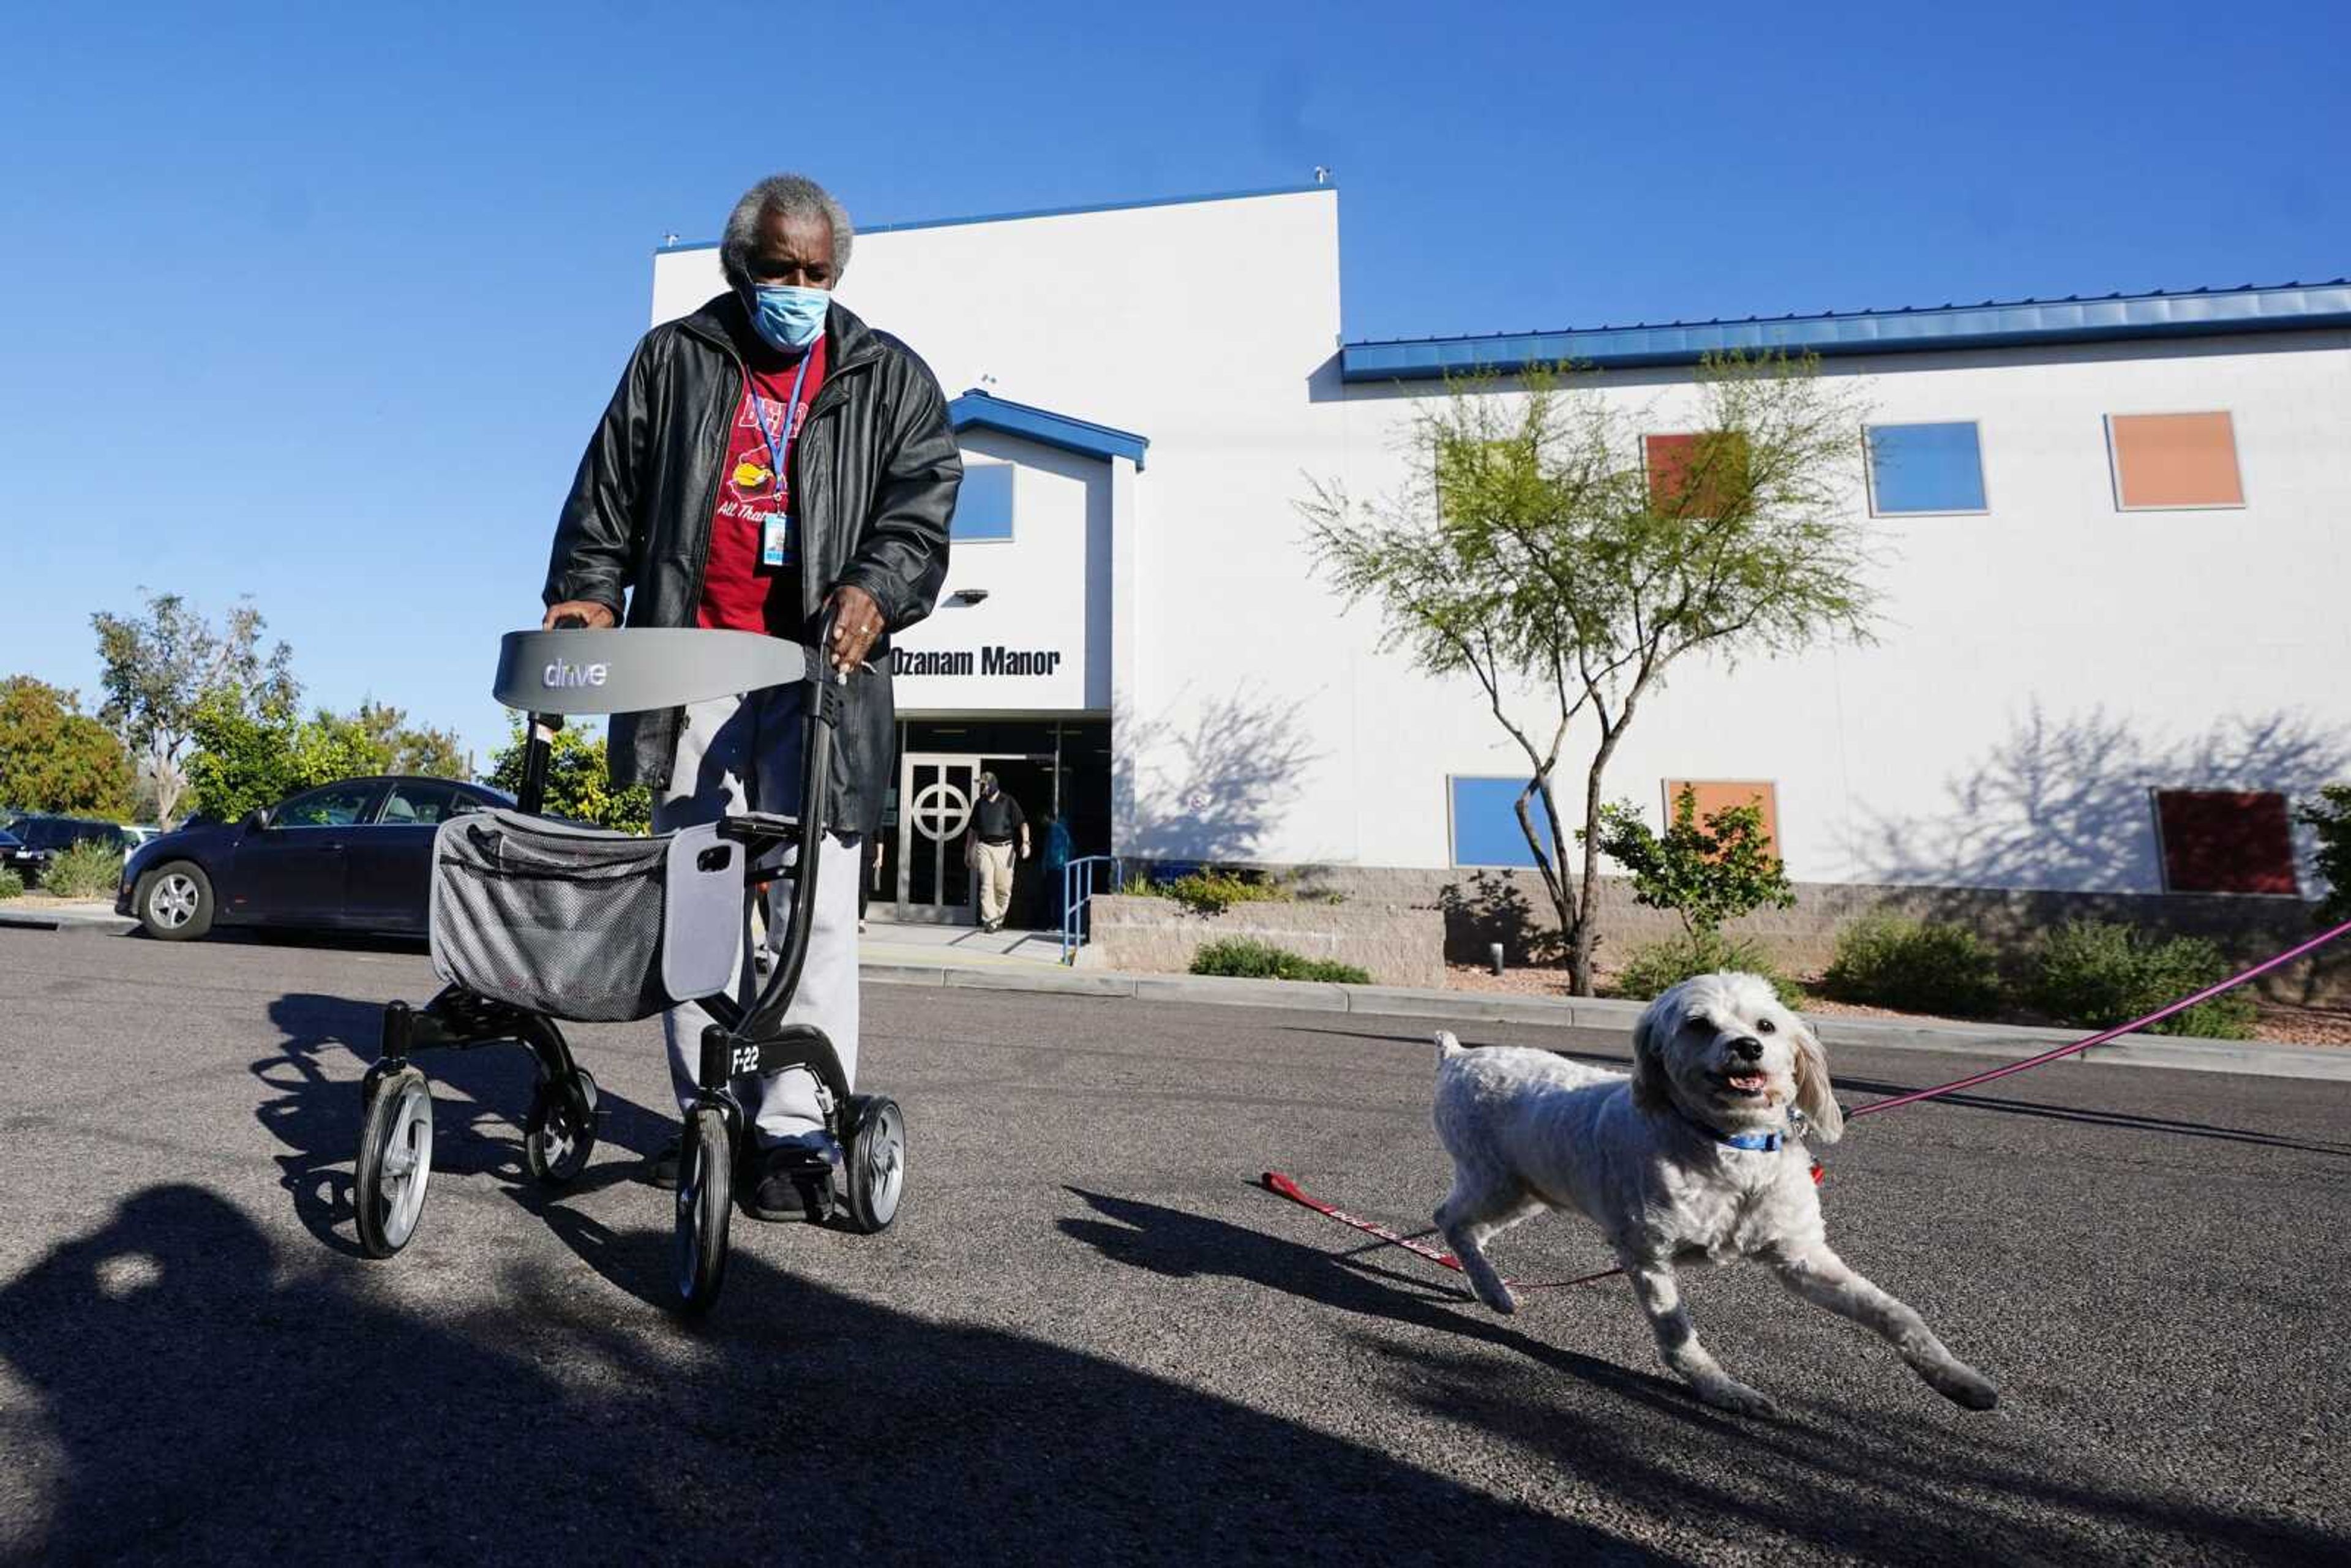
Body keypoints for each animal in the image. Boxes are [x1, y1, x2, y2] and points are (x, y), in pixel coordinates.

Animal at [1420, 973, 1993, 1420]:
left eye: (1766, 1026)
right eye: (1699, 1024)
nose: (1746, 1047)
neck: (1730, 1148)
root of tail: (1459, 1055)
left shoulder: (1799, 1255)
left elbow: (1895, 1313)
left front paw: (1957, 1378)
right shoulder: (1646, 1253)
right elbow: (1677, 1335)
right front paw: (1721, 1389)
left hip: (1527, 1190)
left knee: (1467, 1229)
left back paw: (1488, 1286)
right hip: (1493, 1178)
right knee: (1447, 1217)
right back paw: (1492, 1288)